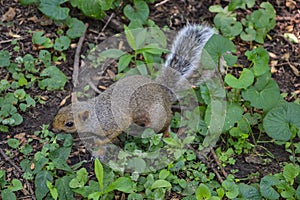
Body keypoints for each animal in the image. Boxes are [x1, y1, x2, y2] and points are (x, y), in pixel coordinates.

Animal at [51, 24, 216, 145]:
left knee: (166, 123)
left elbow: (115, 132)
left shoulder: (115, 122)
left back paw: (166, 133)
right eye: (60, 110)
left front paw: (101, 143)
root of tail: (164, 91)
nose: (53, 128)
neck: (95, 114)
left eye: (69, 124)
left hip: (157, 115)